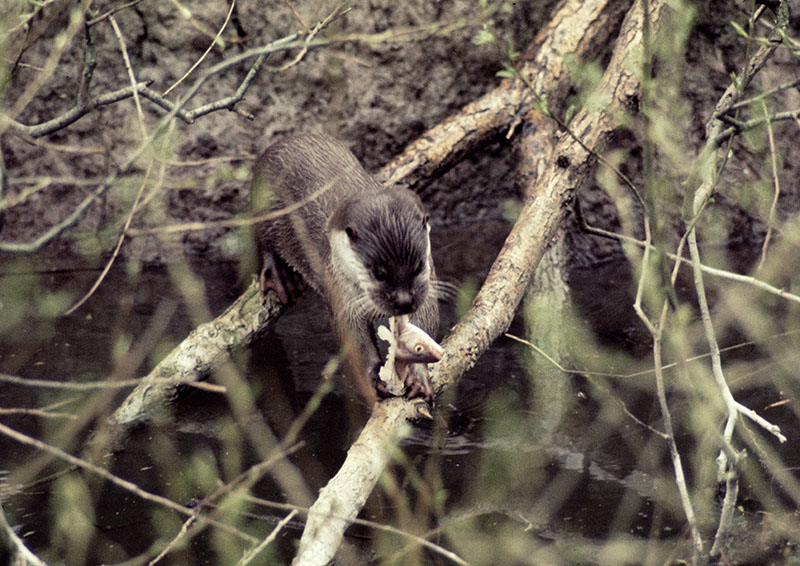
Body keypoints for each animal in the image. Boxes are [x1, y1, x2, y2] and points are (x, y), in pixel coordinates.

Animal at [251, 134, 440, 401]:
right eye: (378, 273)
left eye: (418, 266)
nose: (404, 301)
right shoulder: (340, 289)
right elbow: (352, 336)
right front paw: (373, 379)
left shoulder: (428, 286)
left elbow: (425, 320)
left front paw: (419, 376)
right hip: (266, 205)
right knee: (262, 238)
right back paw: (280, 276)